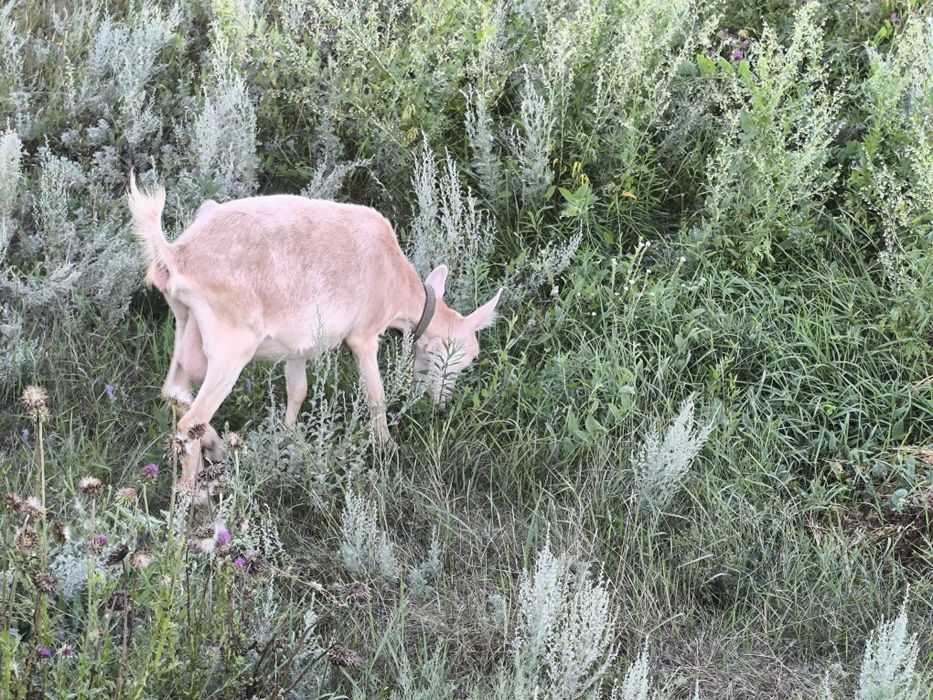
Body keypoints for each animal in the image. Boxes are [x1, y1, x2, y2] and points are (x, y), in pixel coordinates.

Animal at [128, 174, 501, 485]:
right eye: (467, 358)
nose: (443, 404)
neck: (398, 285)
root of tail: (176, 254)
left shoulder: (297, 346)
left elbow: (299, 390)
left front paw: (289, 437)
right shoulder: (365, 335)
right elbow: (376, 396)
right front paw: (388, 448)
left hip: (185, 321)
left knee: (174, 391)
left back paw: (218, 449)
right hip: (232, 345)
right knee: (190, 420)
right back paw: (191, 495)